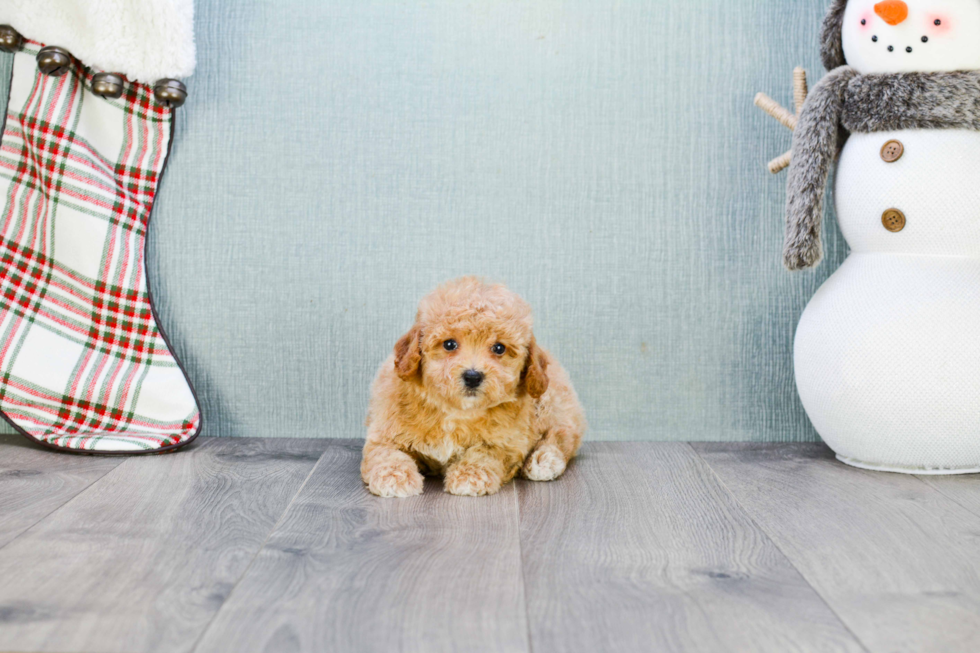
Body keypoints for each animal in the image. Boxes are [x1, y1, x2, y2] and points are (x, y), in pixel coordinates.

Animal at [364, 274, 584, 494]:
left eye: (499, 348)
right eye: (449, 344)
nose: (472, 376)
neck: (456, 412)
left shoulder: (507, 442)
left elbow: (484, 453)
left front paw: (470, 475)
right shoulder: (385, 430)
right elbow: (386, 452)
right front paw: (393, 477)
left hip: (551, 404)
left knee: (563, 434)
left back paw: (544, 460)